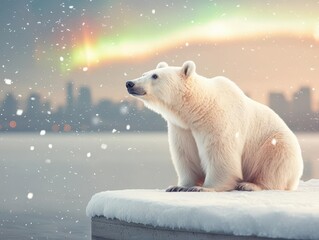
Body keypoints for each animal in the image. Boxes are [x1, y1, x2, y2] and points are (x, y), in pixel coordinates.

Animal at [126, 61, 304, 192]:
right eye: (144, 74)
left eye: (155, 76)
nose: (130, 83)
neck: (200, 106)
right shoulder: (182, 128)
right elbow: (185, 154)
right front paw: (178, 186)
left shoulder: (218, 120)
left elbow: (220, 153)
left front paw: (204, 188)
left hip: (276, 144)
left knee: (273, 164)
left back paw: (250, 185)